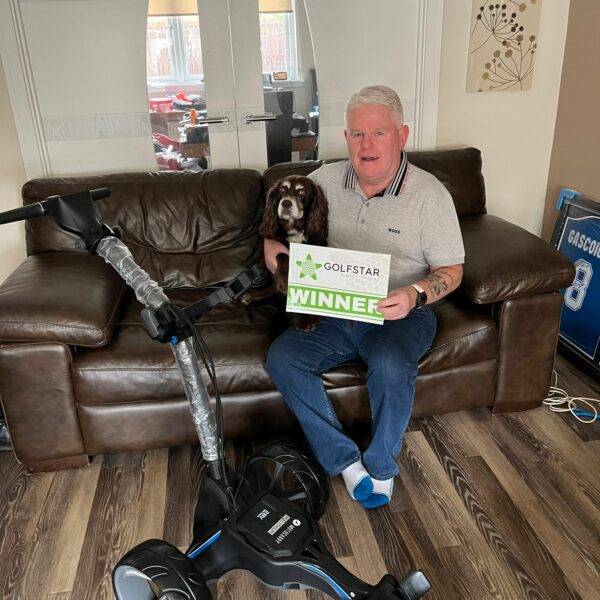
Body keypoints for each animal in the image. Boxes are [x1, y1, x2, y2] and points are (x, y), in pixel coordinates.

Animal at [246, 175, 328, 332]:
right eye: (282, 190)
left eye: (302, 192)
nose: (285, 203)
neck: (295, 229)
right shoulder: (279, 246)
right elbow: (282, 255)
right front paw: (284, 280)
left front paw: (307, 318)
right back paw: (254, 296)